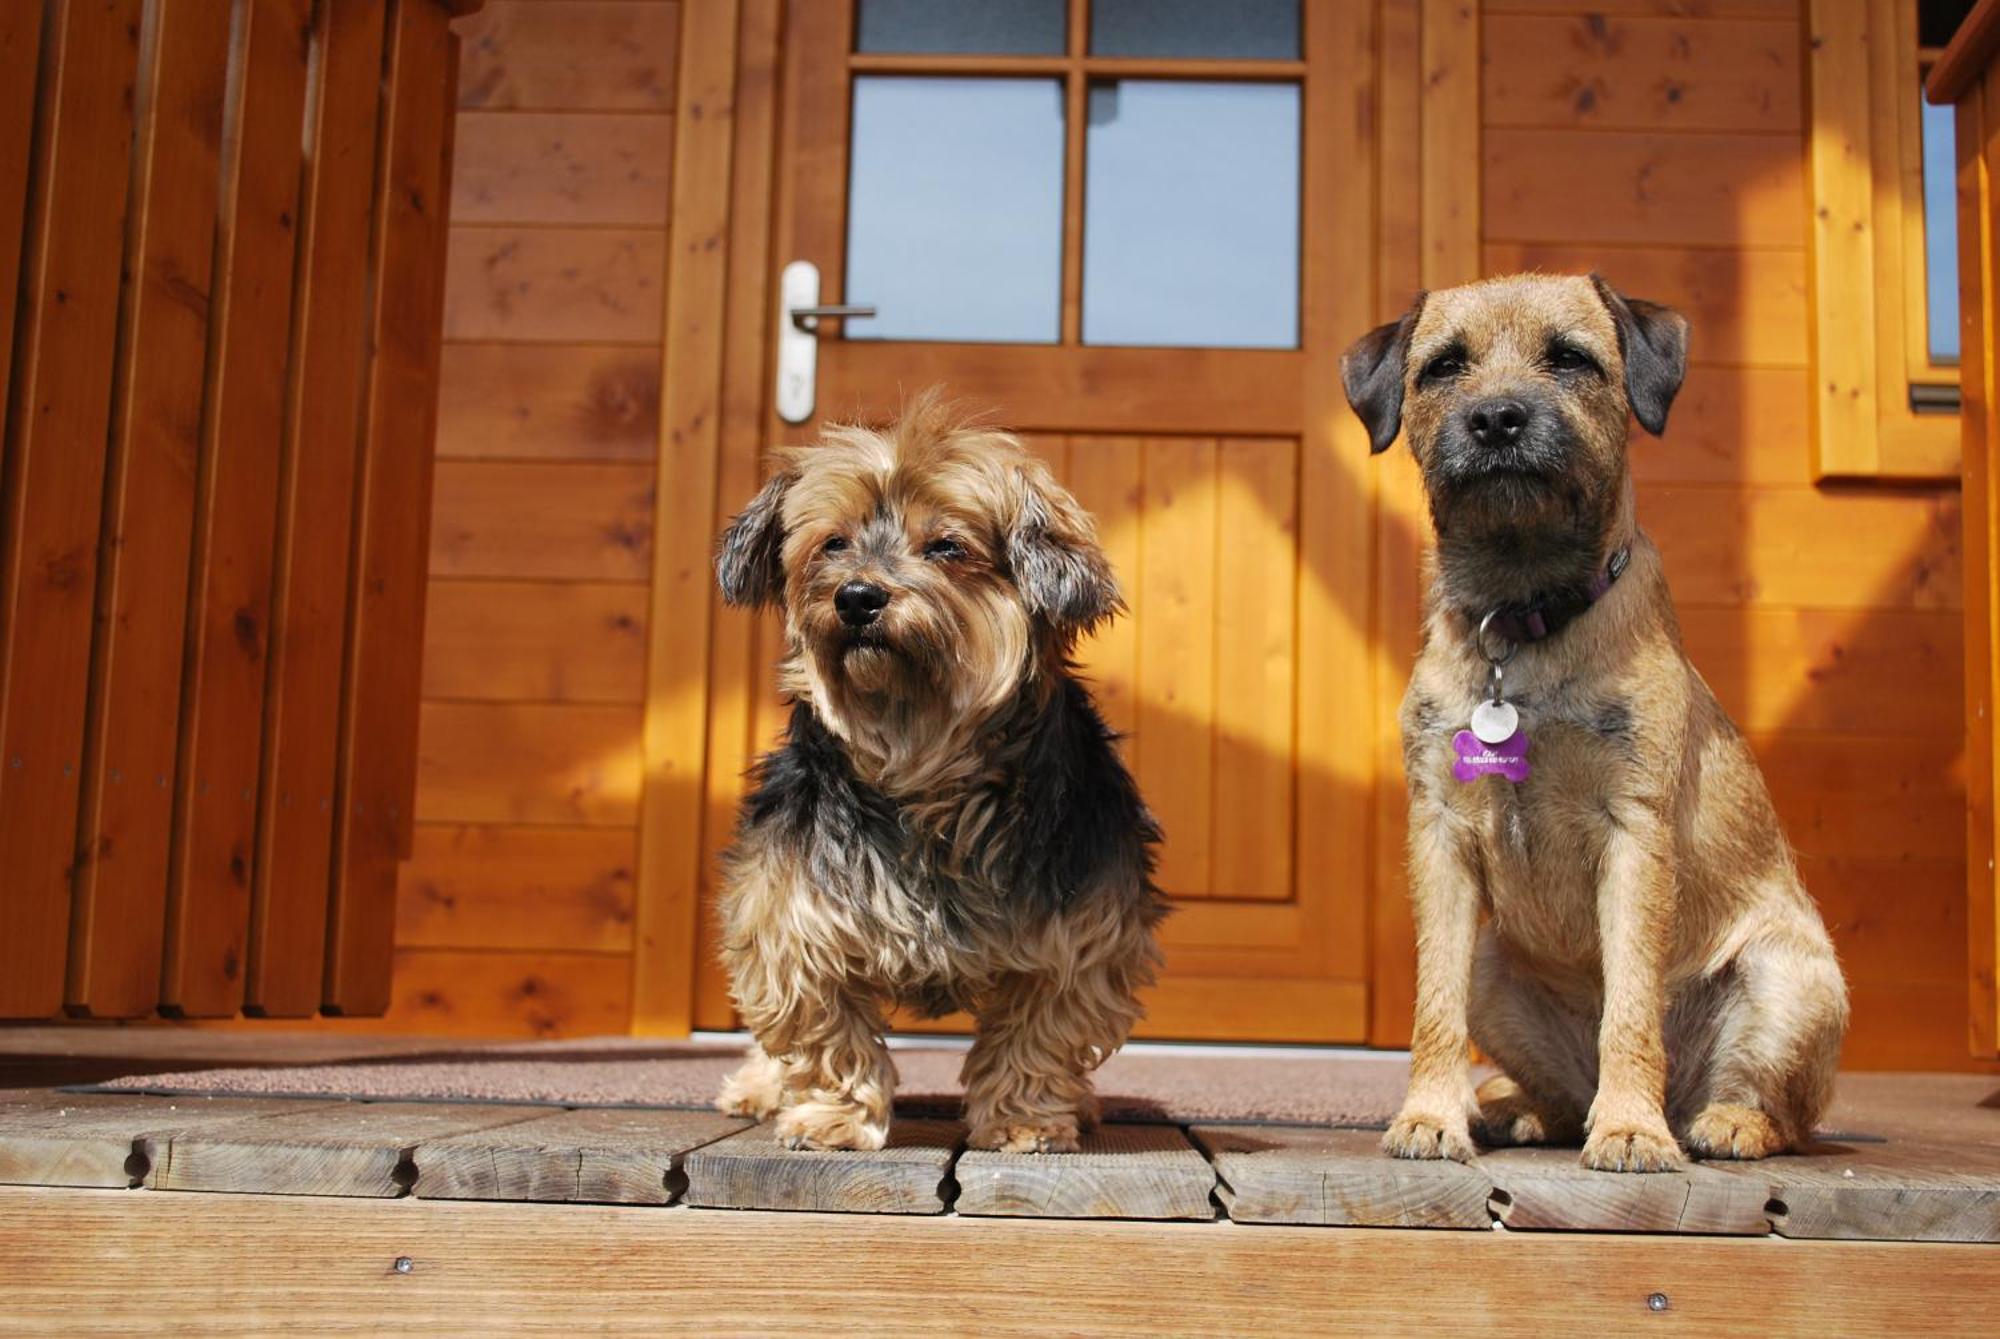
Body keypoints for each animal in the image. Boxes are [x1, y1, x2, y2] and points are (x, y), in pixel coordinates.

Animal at [712, 387, 1168, 1151]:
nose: (857, 596)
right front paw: (834, 1116)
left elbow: (1038, 1033)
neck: (922, 765)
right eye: (833, 543)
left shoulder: (1082, 931)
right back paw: (758, 1087)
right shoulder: (792, 912)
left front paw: (1024, 1120)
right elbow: (823, 1029)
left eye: (948, 546)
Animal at [1344, 275, 1840, 1175]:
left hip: (1793, 977)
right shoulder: (1439, 837)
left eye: (1571, 358)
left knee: (1785, 1112)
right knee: (1558, 1093)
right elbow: (1433, 1005)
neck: (1520, 619)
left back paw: (1714, 1121)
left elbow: (1632, 1004)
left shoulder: (1634, 834)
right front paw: (1431, 1115)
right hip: (1493, 966)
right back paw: (1519, 1108)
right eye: (1445, 367)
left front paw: (1631, 1131)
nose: (1497, 419)